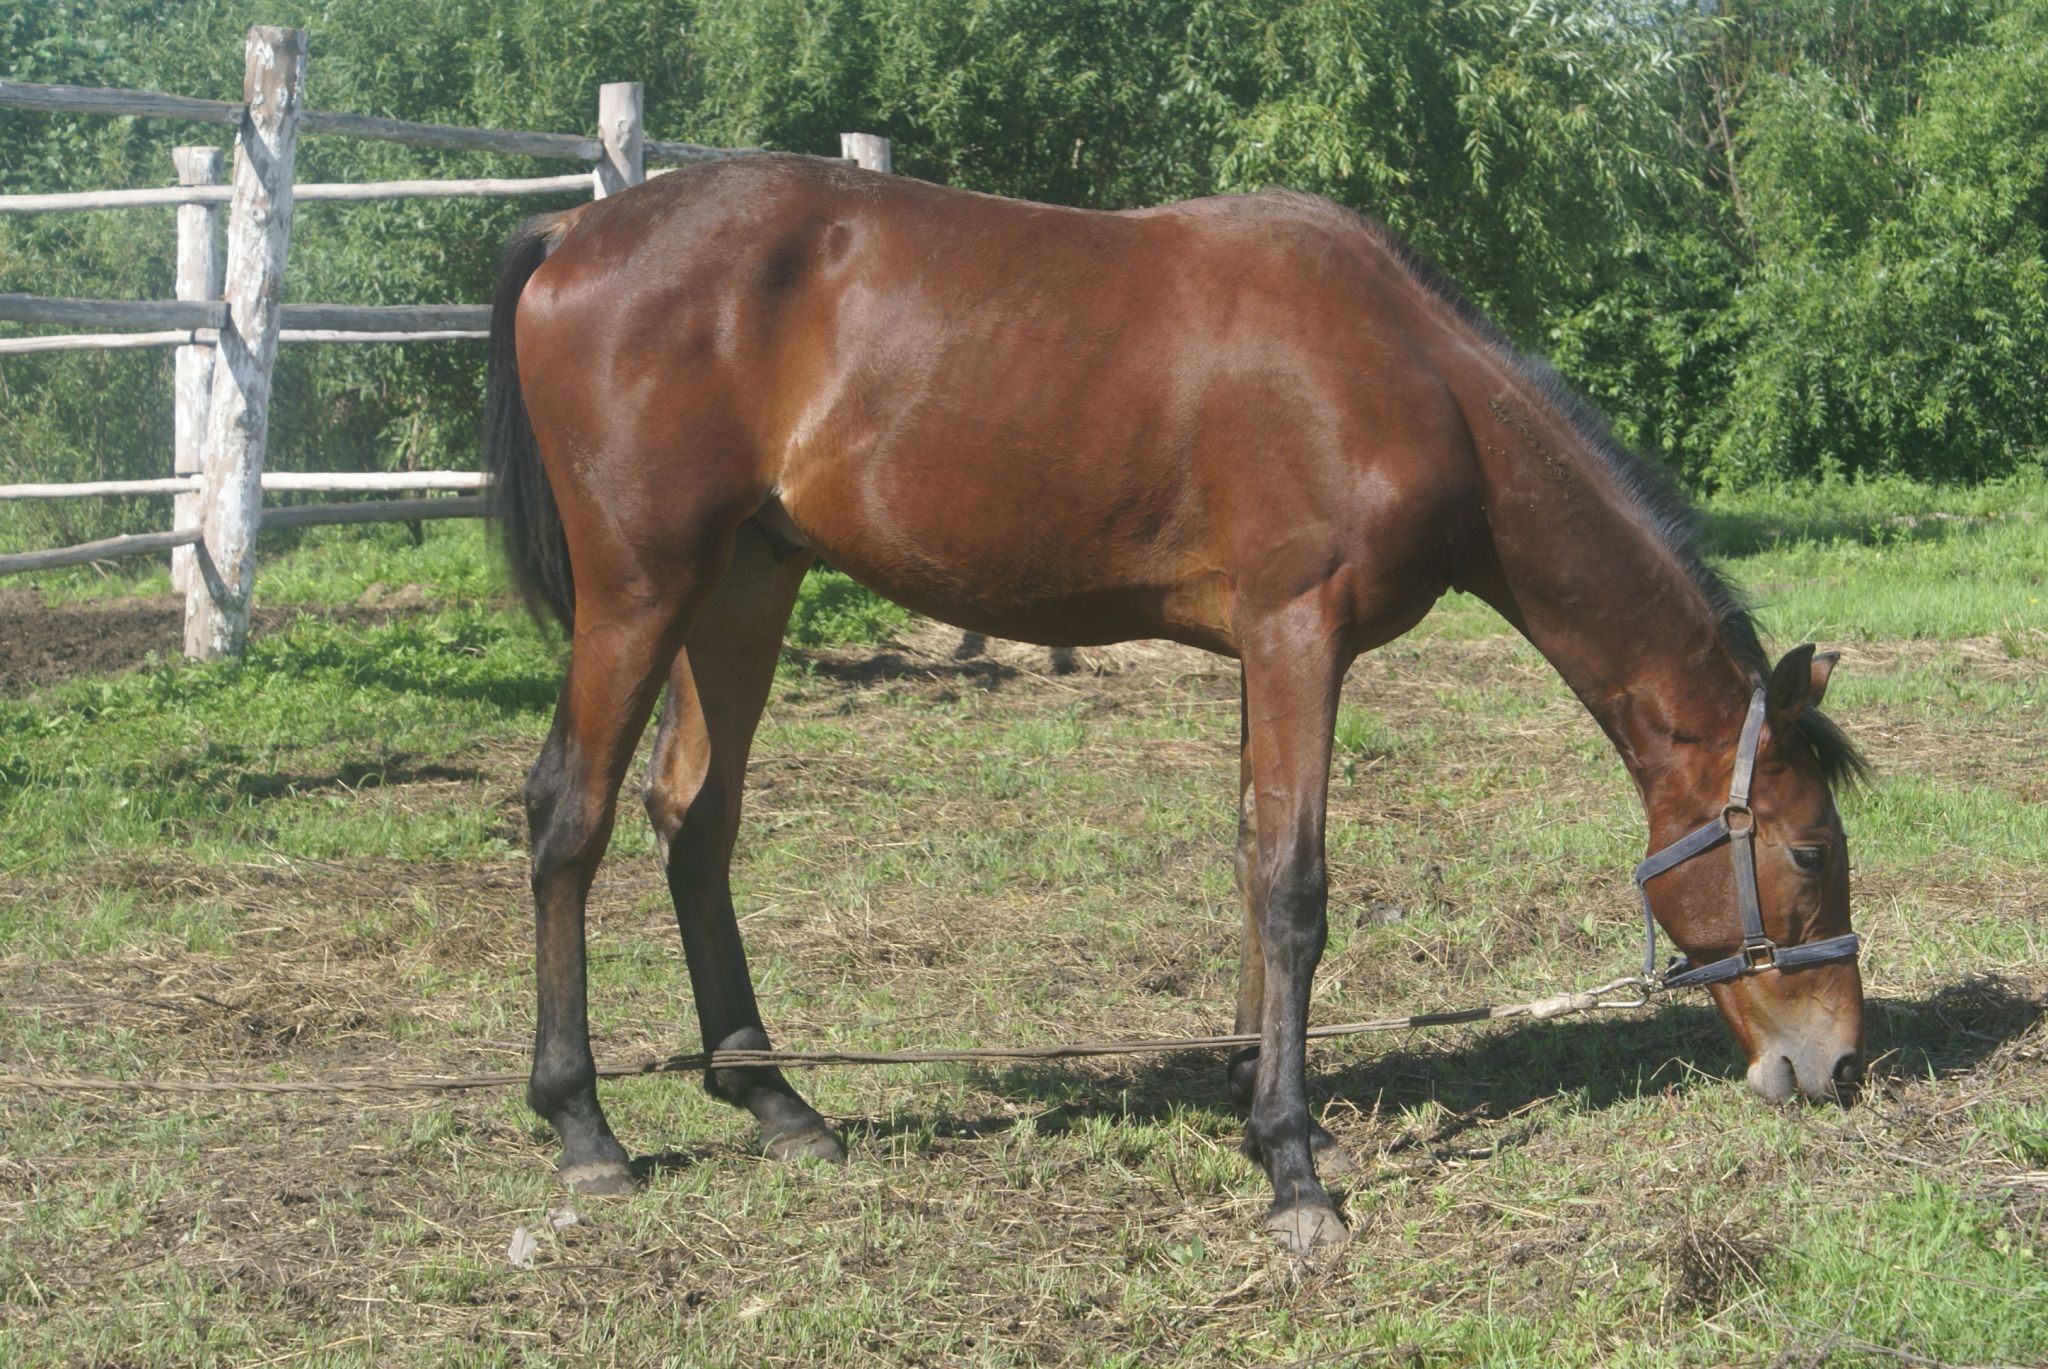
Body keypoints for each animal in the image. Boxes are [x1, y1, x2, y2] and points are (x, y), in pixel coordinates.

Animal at [483, 152, 1875, 1254]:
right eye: (1811, 850)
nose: (1842, 1064)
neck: (1414, 379)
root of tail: (576, 231)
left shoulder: (1266, 650)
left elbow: (1252, 859)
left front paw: (1257, 1101)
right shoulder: (1298, 631)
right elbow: (1295, 886)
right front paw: (1294, 1170)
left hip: (741, 584)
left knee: (694, 816)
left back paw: (774, 1100)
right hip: (641, 587)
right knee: (570, 812)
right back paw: (583, 1125)